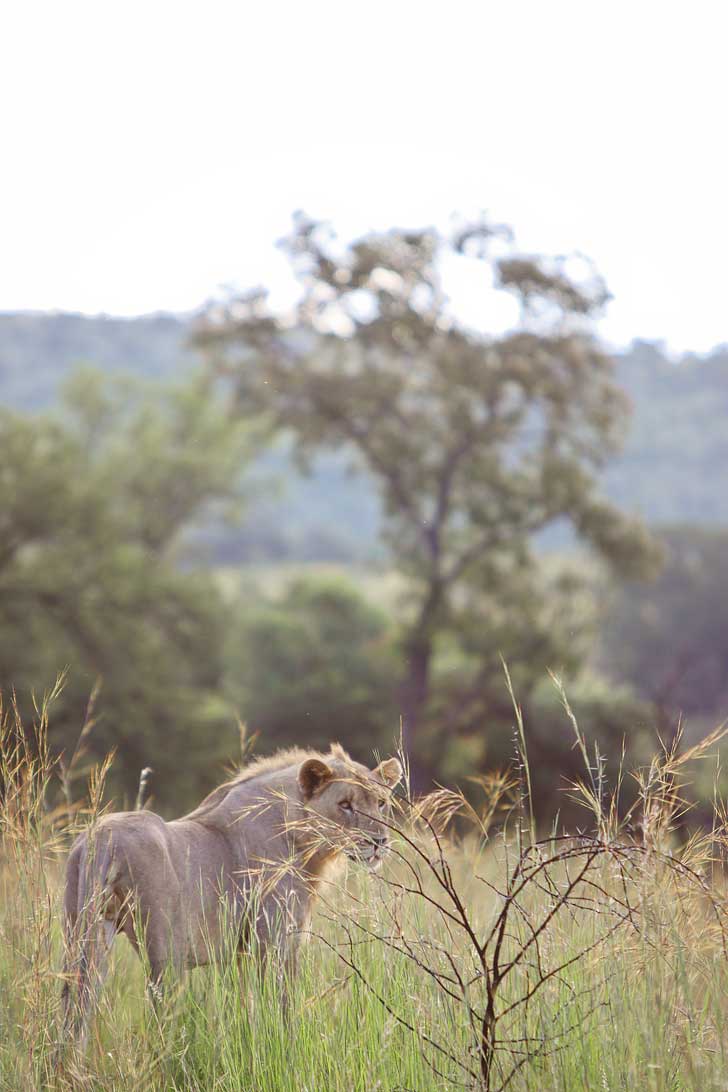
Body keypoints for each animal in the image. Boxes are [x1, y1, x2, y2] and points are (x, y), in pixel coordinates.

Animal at [61, 746, 403, 1043]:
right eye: (345, 804)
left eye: (381, 803)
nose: (379, 841)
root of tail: (101, 837)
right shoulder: (276, 943)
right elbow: (281, 1007)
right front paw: (285, 1050)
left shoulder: (240, 952)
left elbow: (245, 1007)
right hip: (164, 953)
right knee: (161, 1019)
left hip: (83, 938)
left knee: (75, 1010)